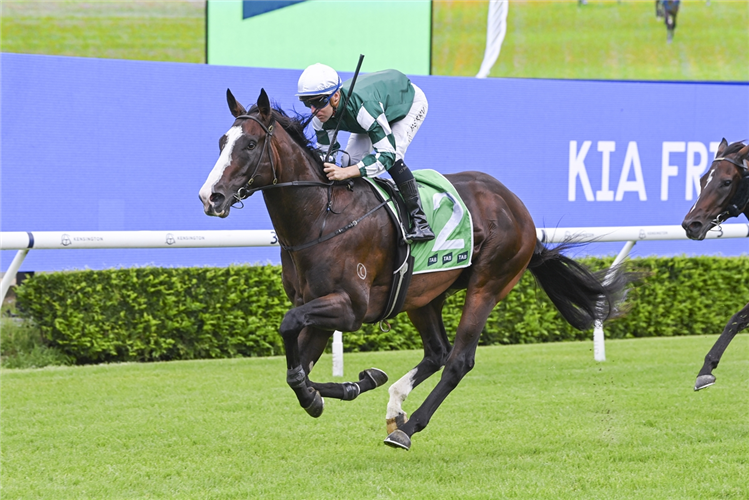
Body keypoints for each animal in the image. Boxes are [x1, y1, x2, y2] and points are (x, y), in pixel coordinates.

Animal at [199, 89, 632, 450]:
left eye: (250, 144)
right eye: (221, 142)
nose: (210, 197)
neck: (320, 218)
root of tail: (516, 207)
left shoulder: (349, 308)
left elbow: (289, 328)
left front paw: (332, 391)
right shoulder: (318, 308)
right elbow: (296, 371)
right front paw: (351, 385)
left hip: (488, 284)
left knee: (457, 361)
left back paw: (407, 429)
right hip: (422, 296)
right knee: (437, 352)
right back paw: (395, 406)